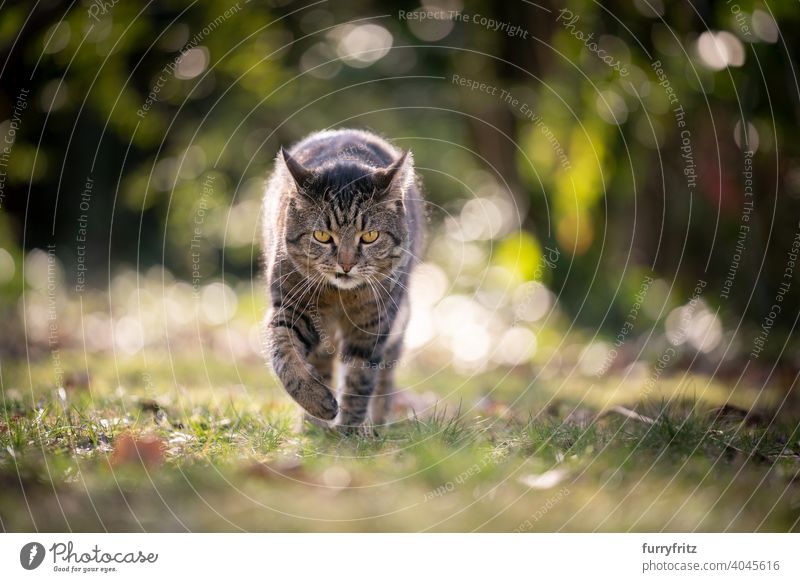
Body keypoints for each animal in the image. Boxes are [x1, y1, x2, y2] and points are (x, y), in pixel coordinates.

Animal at [262, 130, 424, 436]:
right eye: (322, 236)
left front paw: (349, 431)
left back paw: (376, 423)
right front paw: (316, 401)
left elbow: (359, 380)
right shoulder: (292, 308)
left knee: (384, 377)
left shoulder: (372, 325)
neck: (340, 296)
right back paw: (312, 424)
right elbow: (284, 353)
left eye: (370, 236)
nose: (346, 265)